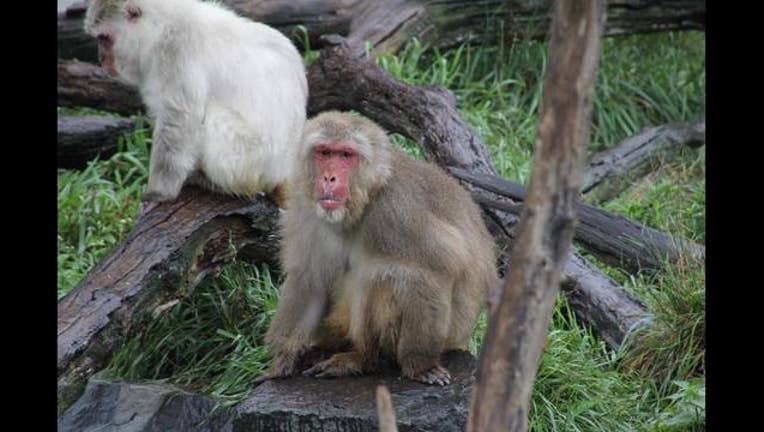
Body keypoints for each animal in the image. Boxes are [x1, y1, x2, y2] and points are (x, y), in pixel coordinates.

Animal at [260, 111, 498, 384]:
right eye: (324, 152)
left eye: (346, 155)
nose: (329, 178)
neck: (364, 200)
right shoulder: (304, 207)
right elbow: (309, 278)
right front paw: (282, 360)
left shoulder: (397, 212)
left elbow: (433, 270)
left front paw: (421, 366)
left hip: (449, 335)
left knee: (383, 277)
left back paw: (364, 358)